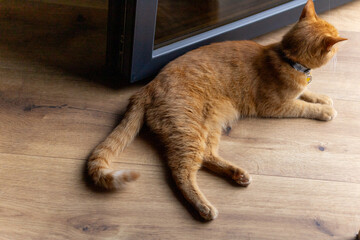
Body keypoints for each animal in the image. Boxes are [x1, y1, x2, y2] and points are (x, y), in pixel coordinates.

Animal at [87, 0, 346, 220]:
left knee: (206, 156)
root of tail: (145, 88)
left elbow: (307, 93)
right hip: (189, 132)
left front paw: (322, 98)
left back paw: (237, 174)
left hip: (211, 125)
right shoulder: (276, 106)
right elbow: (303, 106)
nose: (337, 52)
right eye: (334, 48)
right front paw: (324, 111)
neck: (286, 59)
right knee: (181, 171)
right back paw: (204, 207)